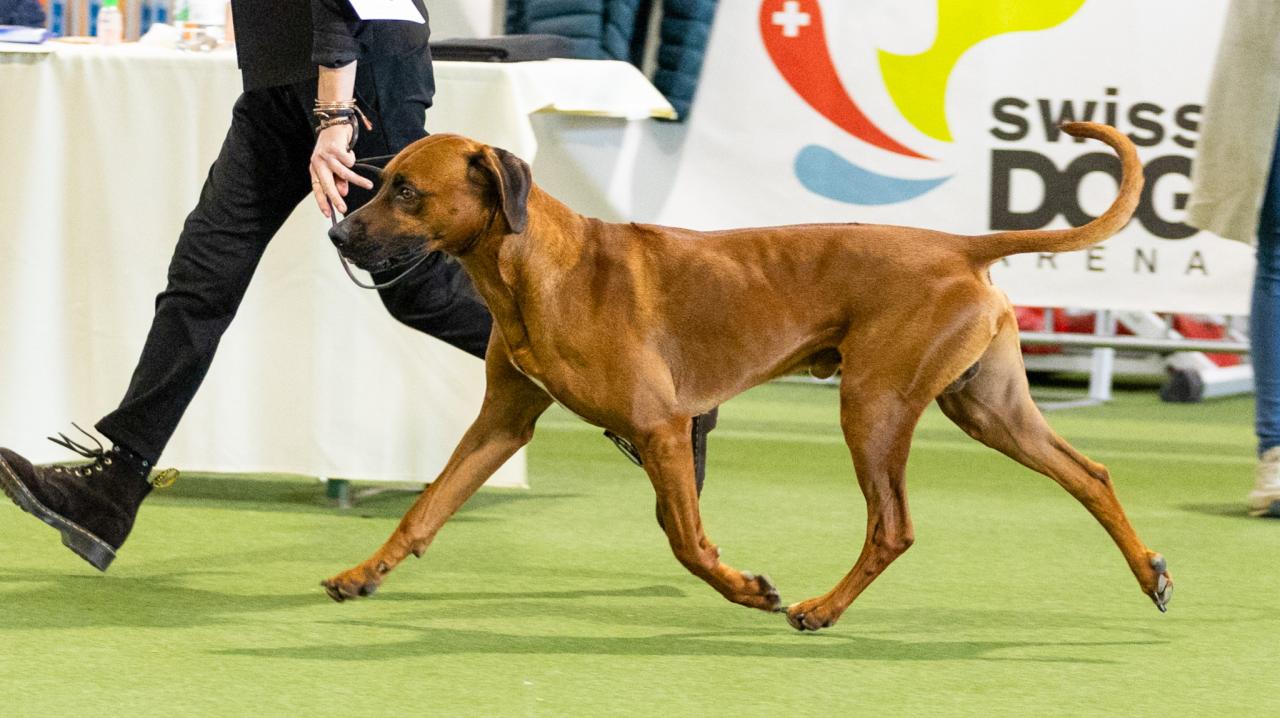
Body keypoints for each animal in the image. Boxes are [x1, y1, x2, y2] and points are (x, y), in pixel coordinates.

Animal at [325, 121, 1172, 627]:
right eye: (377, 178)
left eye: (407, 191)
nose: (336, 232)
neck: (539, 267)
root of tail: (962, 246)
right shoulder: (501, 424)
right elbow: (426, 510)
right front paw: (363, 574)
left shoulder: (662, 429)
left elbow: (685, 539)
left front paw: (745, 589)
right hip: (988, 409)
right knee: (1090, 474)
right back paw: (1150, 573)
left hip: (873, 406)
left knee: (891, 526)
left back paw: (822, 609)